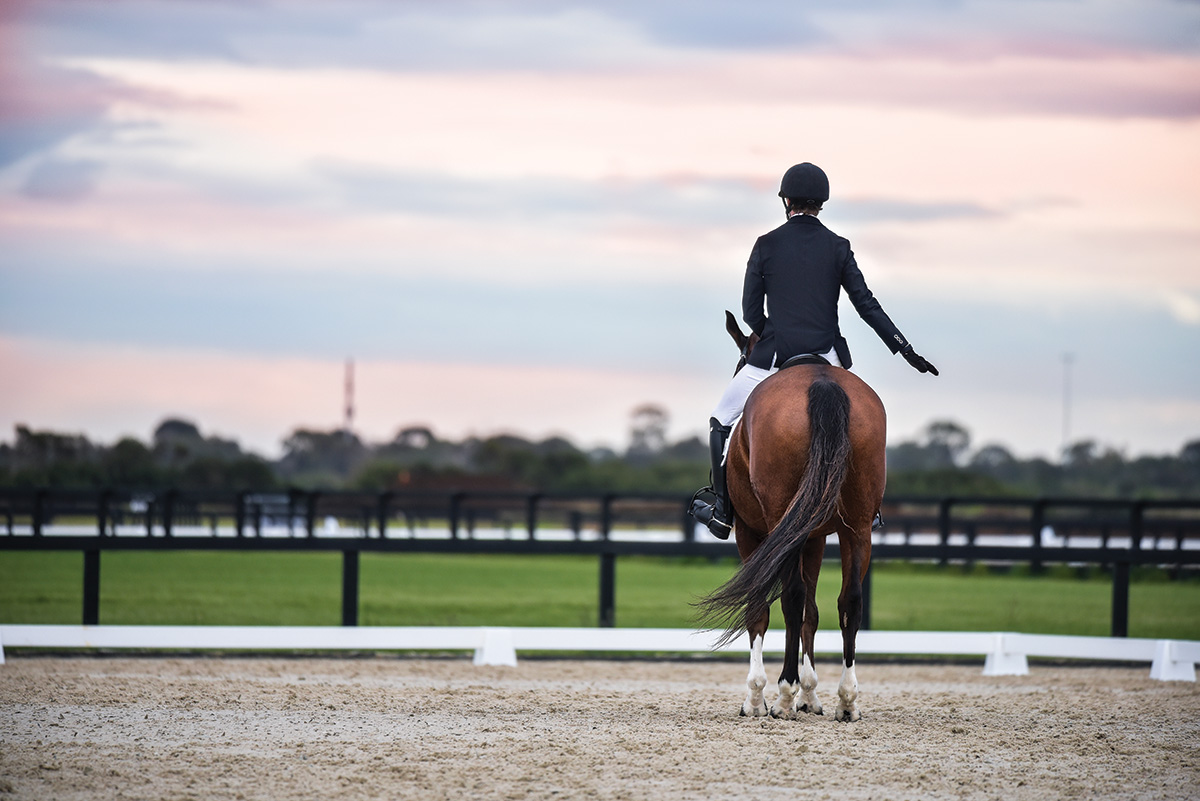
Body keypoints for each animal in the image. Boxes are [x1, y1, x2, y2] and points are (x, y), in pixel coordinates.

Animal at [700, 311, 888, 719]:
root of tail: (822, 383)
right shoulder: (814, 537)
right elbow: (813, 613)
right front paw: (810, 695)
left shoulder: (752, 533)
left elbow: (762, 607)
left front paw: (757, 697)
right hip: (857, 528)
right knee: (849, 600)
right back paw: (847, 700)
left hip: (778, 525)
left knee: (791, 598)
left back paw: (783, 695)